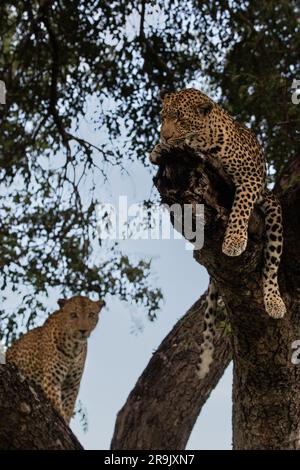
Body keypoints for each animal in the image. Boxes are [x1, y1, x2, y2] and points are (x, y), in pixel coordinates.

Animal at [5, 296, 105, 424]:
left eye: (91, 314)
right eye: (73, 315)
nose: (83, 330)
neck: (74, 348)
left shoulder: (72, 385)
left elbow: (68, 408)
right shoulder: (51, 381)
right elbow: (60, 410)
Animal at [150, 90, 286, 378]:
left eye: (179, 119)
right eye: (163, 117)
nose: (164, 136)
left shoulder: (250, 181)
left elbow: (240, 206)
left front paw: (234, 240)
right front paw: (157, 150)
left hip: (272, 207)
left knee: (271, 262)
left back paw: (274, 302)